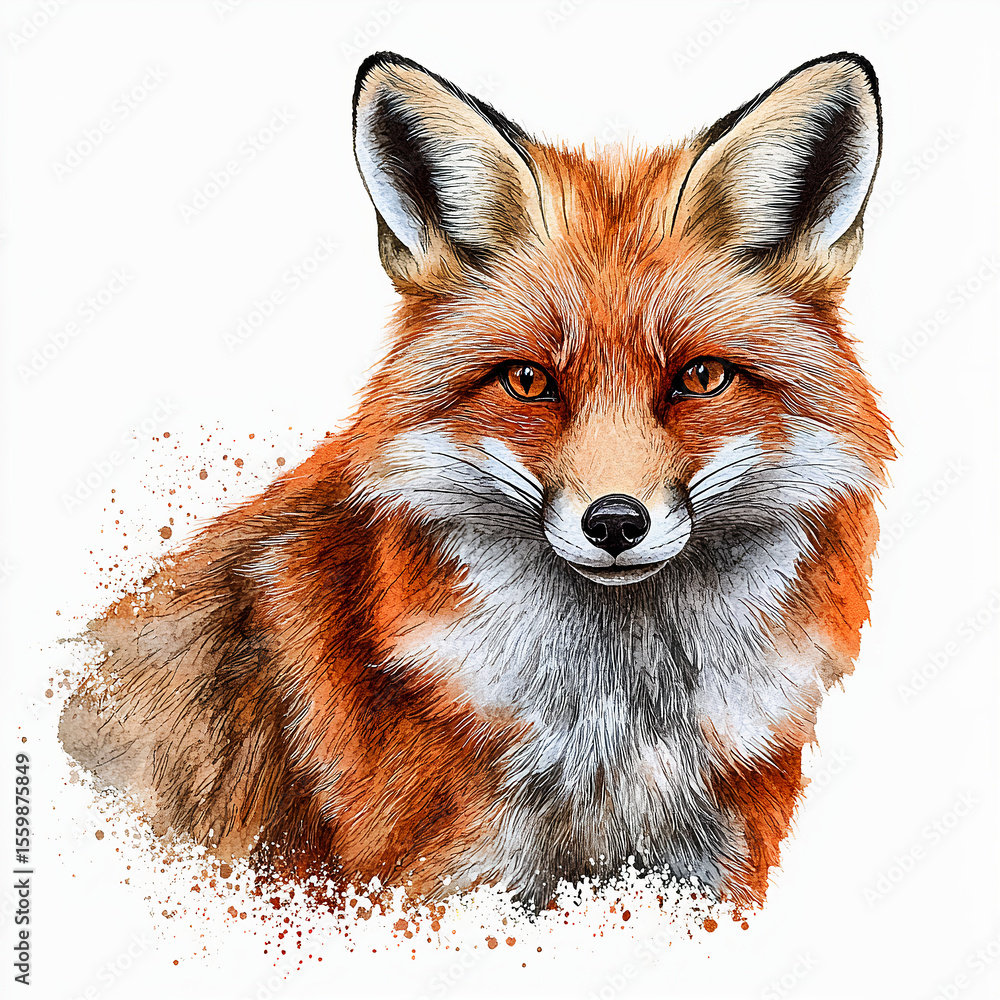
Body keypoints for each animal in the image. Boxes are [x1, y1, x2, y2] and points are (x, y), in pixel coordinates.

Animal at [60, 50, 892, 912]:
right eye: (528, 381)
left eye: (700, 378)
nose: (615, 523)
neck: (617, 736)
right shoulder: (438, 888)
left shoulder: (707, 884)